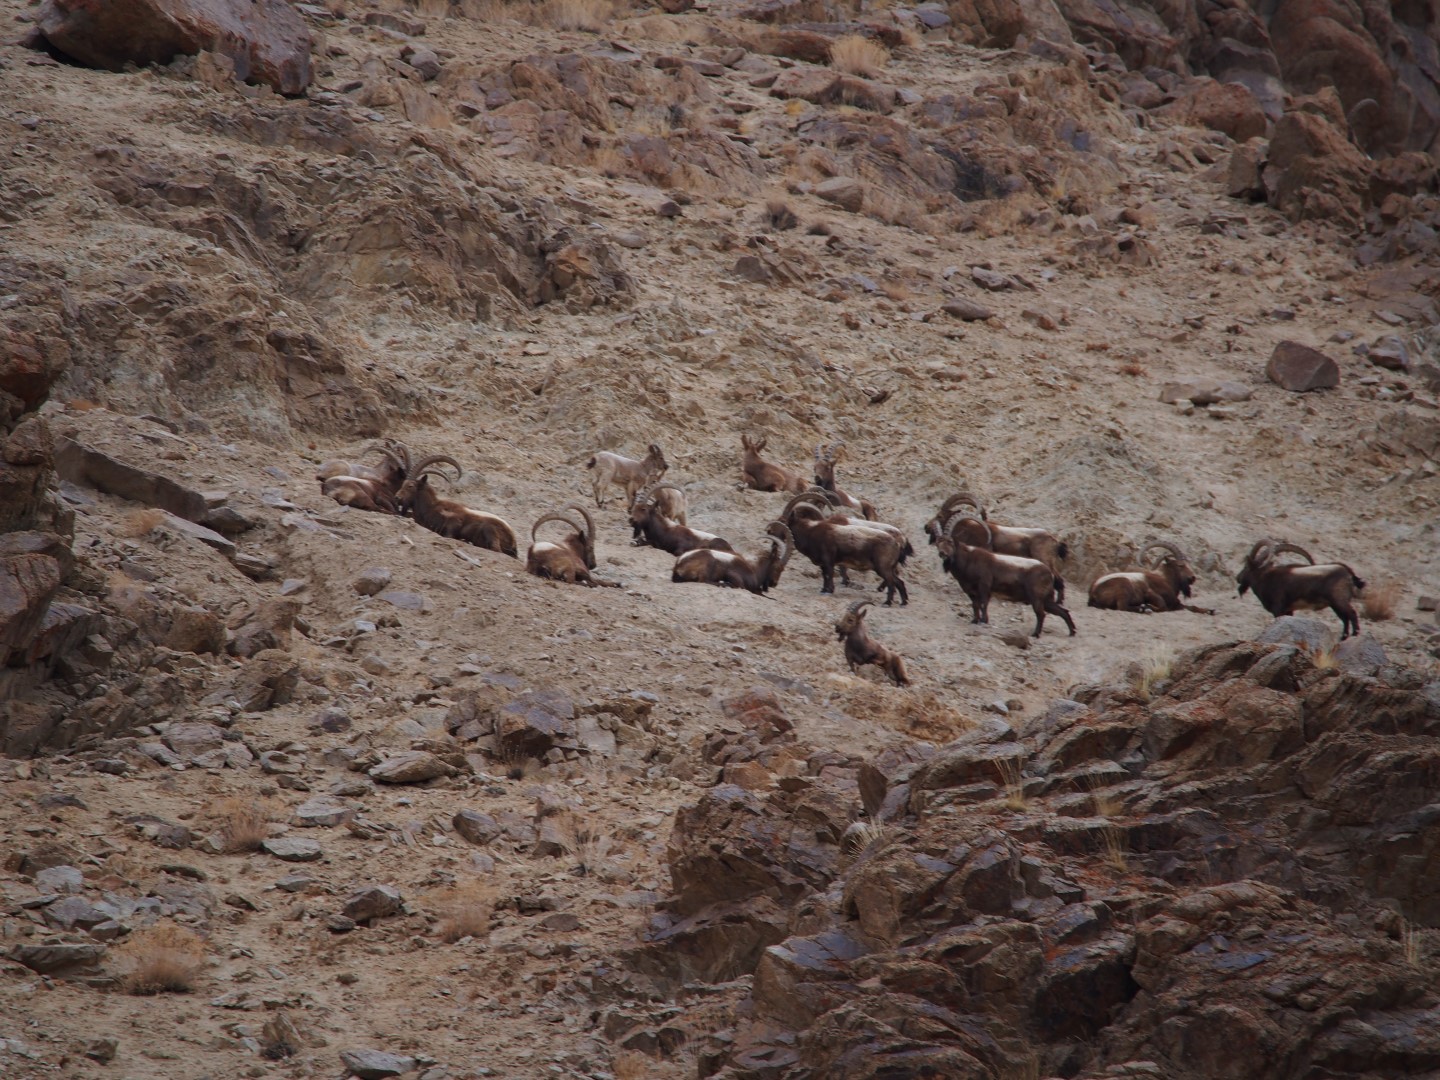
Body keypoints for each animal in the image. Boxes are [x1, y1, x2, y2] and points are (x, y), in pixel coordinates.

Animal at [921, 495, 1071, 604]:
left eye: (940, 516)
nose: (926, 527)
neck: (967, 529)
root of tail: (1055, 541)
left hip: (1044, 559)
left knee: (1058, 580)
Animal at [938, 512, 1077, 639]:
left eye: (950, 541)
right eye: (939, 543)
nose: (942, 553)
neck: (968, 560)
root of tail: (1048, 572)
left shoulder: (984, 585)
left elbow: (983, 604)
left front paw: (984, 620)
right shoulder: (971, 591)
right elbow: (975, 605)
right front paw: (974, 620)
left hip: (1036, 597)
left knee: (1041, 614)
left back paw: (1035, 634)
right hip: (1047, 599)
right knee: (1063, 611)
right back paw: (1072, 632)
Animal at [1232, 538, 1365, 639]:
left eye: (1246, 567)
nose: (1237, 577)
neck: (1264, 578)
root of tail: (1348, 573)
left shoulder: (1278, 608)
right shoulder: (1289, 610)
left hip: (1339, 600)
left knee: (1351, 614)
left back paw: (1355, 634)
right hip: (1334, 604)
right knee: (1345, 618)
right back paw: (1343, 638)